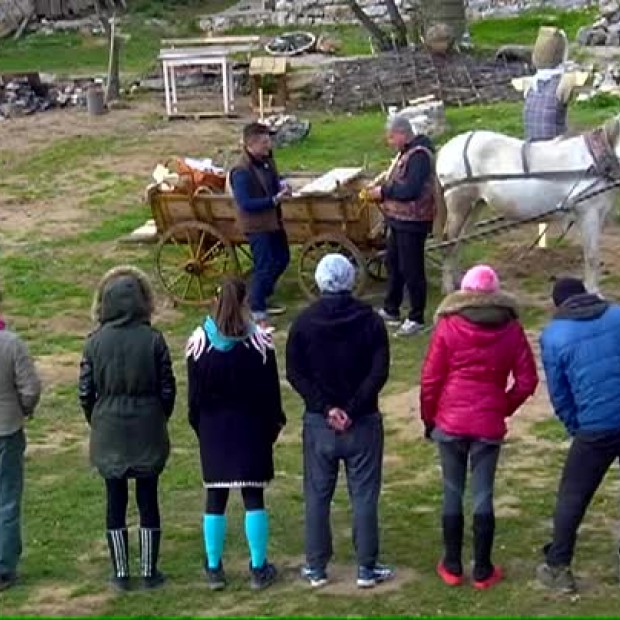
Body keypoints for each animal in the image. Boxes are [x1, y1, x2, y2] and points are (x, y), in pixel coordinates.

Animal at [436, 122, 620, 296]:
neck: (596, 161)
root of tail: (445, 149)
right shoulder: (588, 214)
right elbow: (592, 256)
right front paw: (594, 292)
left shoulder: (598, 215)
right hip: (459, 205)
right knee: (448, 243)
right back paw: (448, 288)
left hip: (474, 207)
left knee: (459, 242)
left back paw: (461, 284)